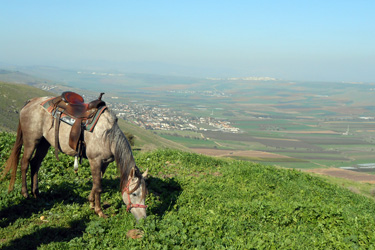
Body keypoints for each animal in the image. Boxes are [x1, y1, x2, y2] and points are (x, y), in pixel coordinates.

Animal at [1, 95, 148, 221]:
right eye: (134, 194)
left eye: (145, 194)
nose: (143, 218)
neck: (108, 135)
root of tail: (31, 101)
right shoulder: (95, 160)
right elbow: (98, 187)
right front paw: (99, 211)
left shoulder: (104, 163)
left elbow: (96, 184)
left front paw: (91, 203)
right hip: (31, 140)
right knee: (25, 163)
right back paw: (25, 193)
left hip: (44, 143)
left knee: (35, 163)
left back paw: (36, 194)